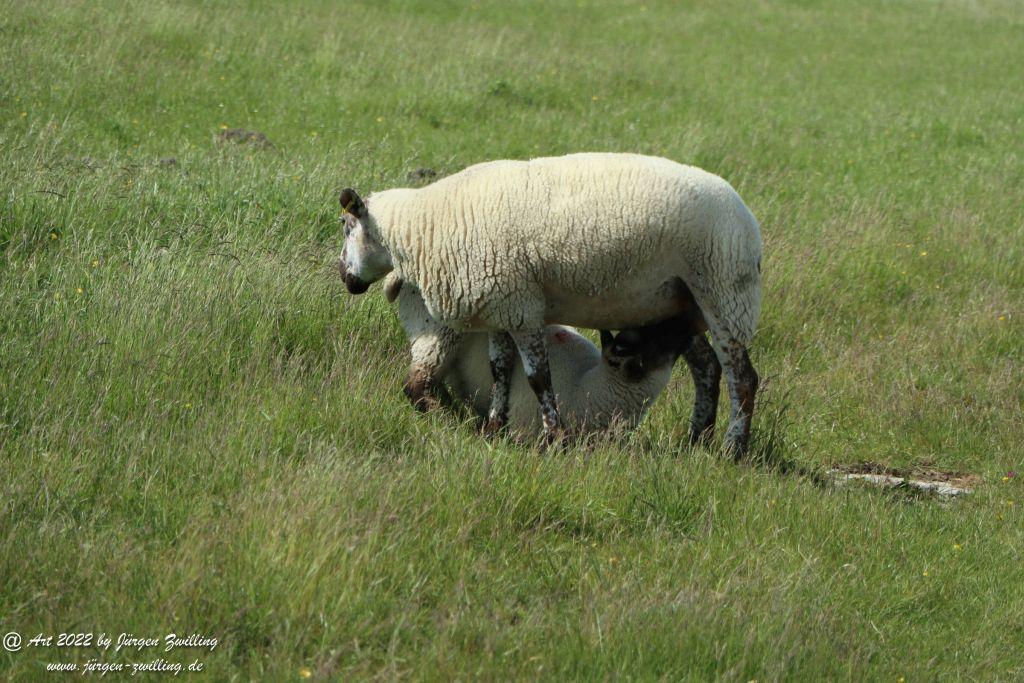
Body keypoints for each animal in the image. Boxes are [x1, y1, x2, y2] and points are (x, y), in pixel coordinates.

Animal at [382, 274, 690, 437]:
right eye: (655, 341)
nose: (687, 317)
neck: (589, 388)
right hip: (437, 335)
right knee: (415, 383)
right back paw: (444, 417)